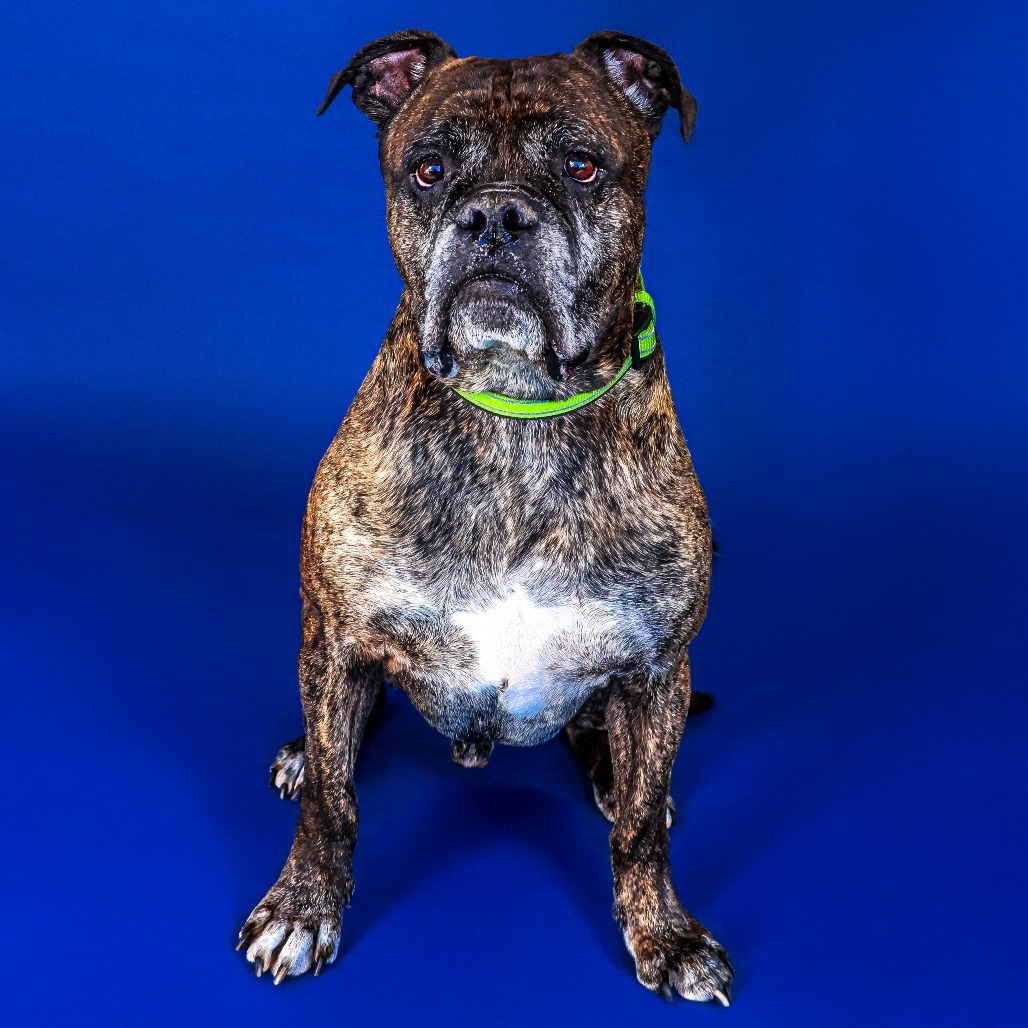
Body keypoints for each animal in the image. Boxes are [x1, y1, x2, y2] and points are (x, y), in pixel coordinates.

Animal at [238, 30, 740, 1003]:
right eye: (429, 171)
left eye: (582, 167)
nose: (496, 217)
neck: (515, 410)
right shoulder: (342, 636)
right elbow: (332, 803)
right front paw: (302, 907)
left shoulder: (657, 665)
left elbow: (639, 838)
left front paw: (666, 934)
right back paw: (300, 751)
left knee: (611, 757)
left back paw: (624, 778)